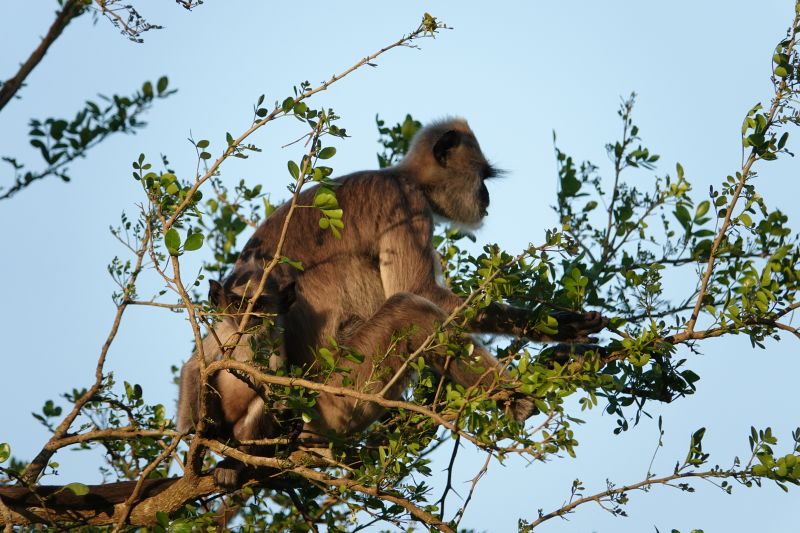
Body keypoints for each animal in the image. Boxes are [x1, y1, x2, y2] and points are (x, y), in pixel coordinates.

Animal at [177, 118, 608, 488]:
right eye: (482, 178)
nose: (486, 198)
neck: (399, 175)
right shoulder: (405, 201)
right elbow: (420, 291)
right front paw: (552, 324)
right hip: (339, 393)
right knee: (409, 310)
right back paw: (511, 398)